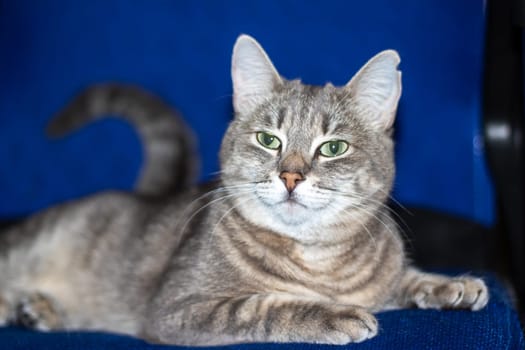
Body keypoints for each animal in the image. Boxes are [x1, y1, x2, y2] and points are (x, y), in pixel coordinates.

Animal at [0, 34, 488, 346]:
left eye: (333, 147)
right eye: (268, 140)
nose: (291, 176)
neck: (319, 260)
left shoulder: (384, 278)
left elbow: (405, 279)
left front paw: (450, 285)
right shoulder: (177, 307)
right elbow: (262, 306)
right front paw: (333, 314)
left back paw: (38, 309)